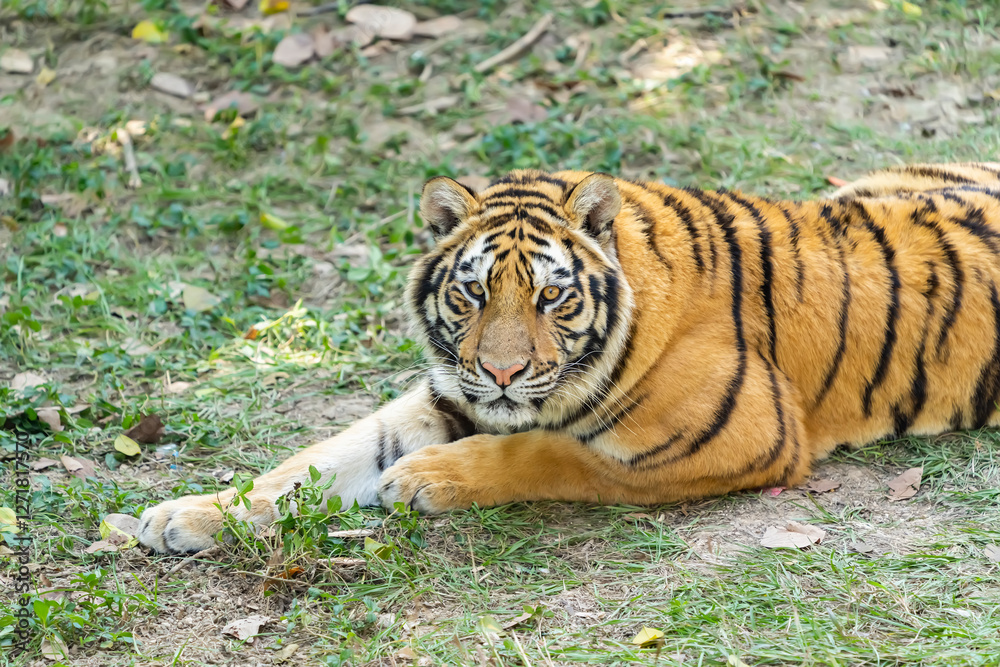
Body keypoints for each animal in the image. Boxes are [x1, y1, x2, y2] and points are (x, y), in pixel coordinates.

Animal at [139, 162, 1000, 554]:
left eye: (551, 296)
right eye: (473, 292)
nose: (502, 373)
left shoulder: (735, 435)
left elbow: (545, 450)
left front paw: (422, 479)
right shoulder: (447, 390)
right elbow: (317, 458)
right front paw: (189, 513)